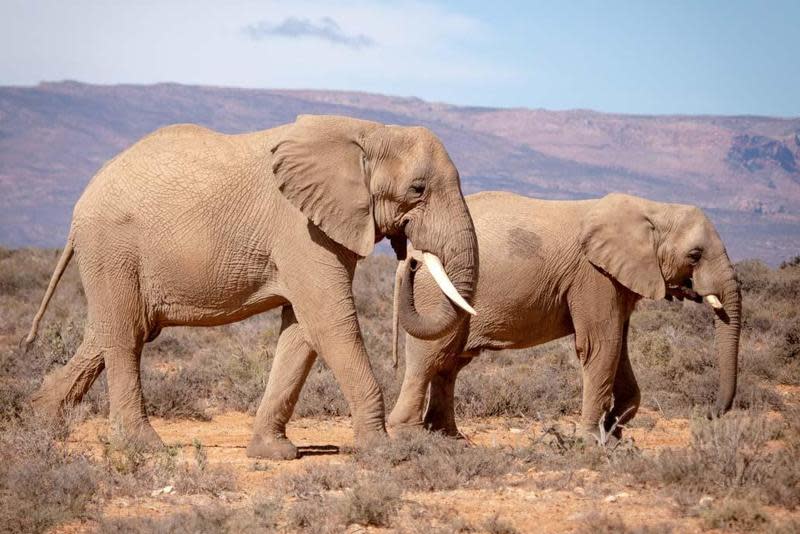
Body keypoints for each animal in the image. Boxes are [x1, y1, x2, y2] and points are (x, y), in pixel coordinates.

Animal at [25, 116, 478, 460]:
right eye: (417, 189)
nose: (411, 256)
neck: (371, 131)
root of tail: (80, 205)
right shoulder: (302, 227)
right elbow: (330, 321)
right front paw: (383, 452)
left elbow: (301, 331)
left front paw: (274, 453)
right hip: (112, 248)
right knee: (124, 335)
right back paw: (143, 446)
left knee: (110, 332)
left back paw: (42, 422)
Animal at [390, 193, 740, 444]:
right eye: (695, 255)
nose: (710, 413)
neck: (653, 208)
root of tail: (412, 256)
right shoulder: (594, 275)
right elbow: (601, 346)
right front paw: (593, 441)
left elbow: (619, 349)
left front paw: (615, 434)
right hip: (433, 293)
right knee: (430, 355)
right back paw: (411, 436)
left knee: (450, 362)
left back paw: (451, 438)